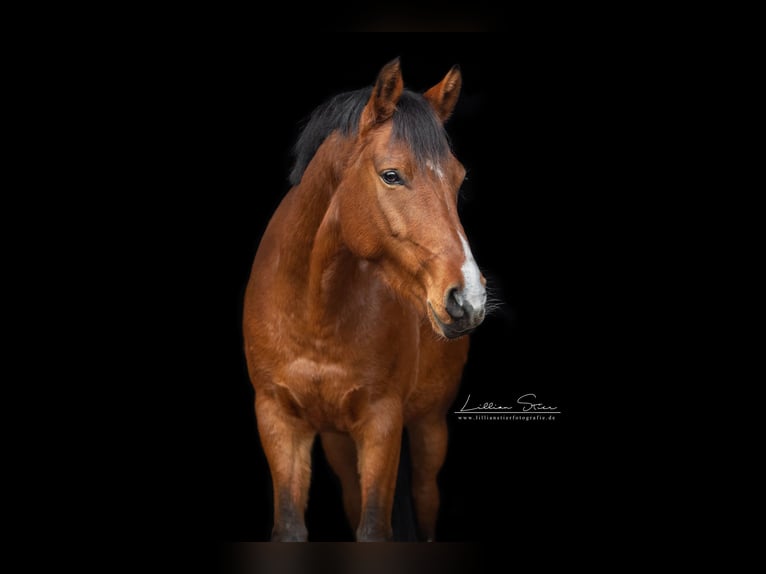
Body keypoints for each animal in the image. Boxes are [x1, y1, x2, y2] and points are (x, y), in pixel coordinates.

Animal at [243, 59, 488, 544]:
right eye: (391, 174)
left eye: (459, 178)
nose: (468, 297)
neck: (314, 313)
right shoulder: (278, 419)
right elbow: (290, 527)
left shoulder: (382, 422)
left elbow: (375, 527)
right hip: (338, 440)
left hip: (429, 427)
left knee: (425, 503)